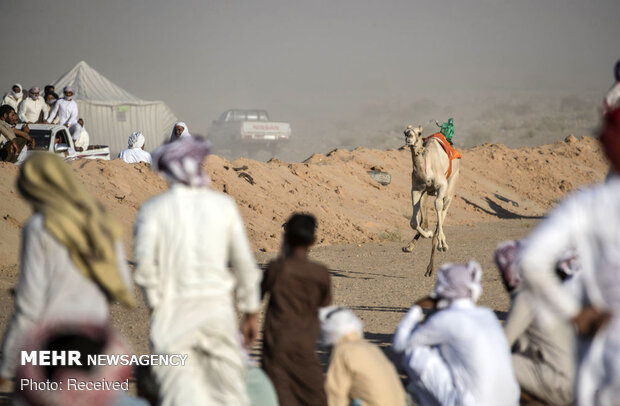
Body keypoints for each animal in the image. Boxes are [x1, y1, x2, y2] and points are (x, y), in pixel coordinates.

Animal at [402, 123, 460, 276]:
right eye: (405, 131)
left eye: (419, 133)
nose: (409, 138)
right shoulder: (416, 189)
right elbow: (413, 222)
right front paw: (426, 234)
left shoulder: (441, 185)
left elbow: (438, 206)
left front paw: (441, 243)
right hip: (426, 193)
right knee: (425, 219)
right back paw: (412, 247)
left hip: (451, 184)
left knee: (443, 209)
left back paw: (439, 246)